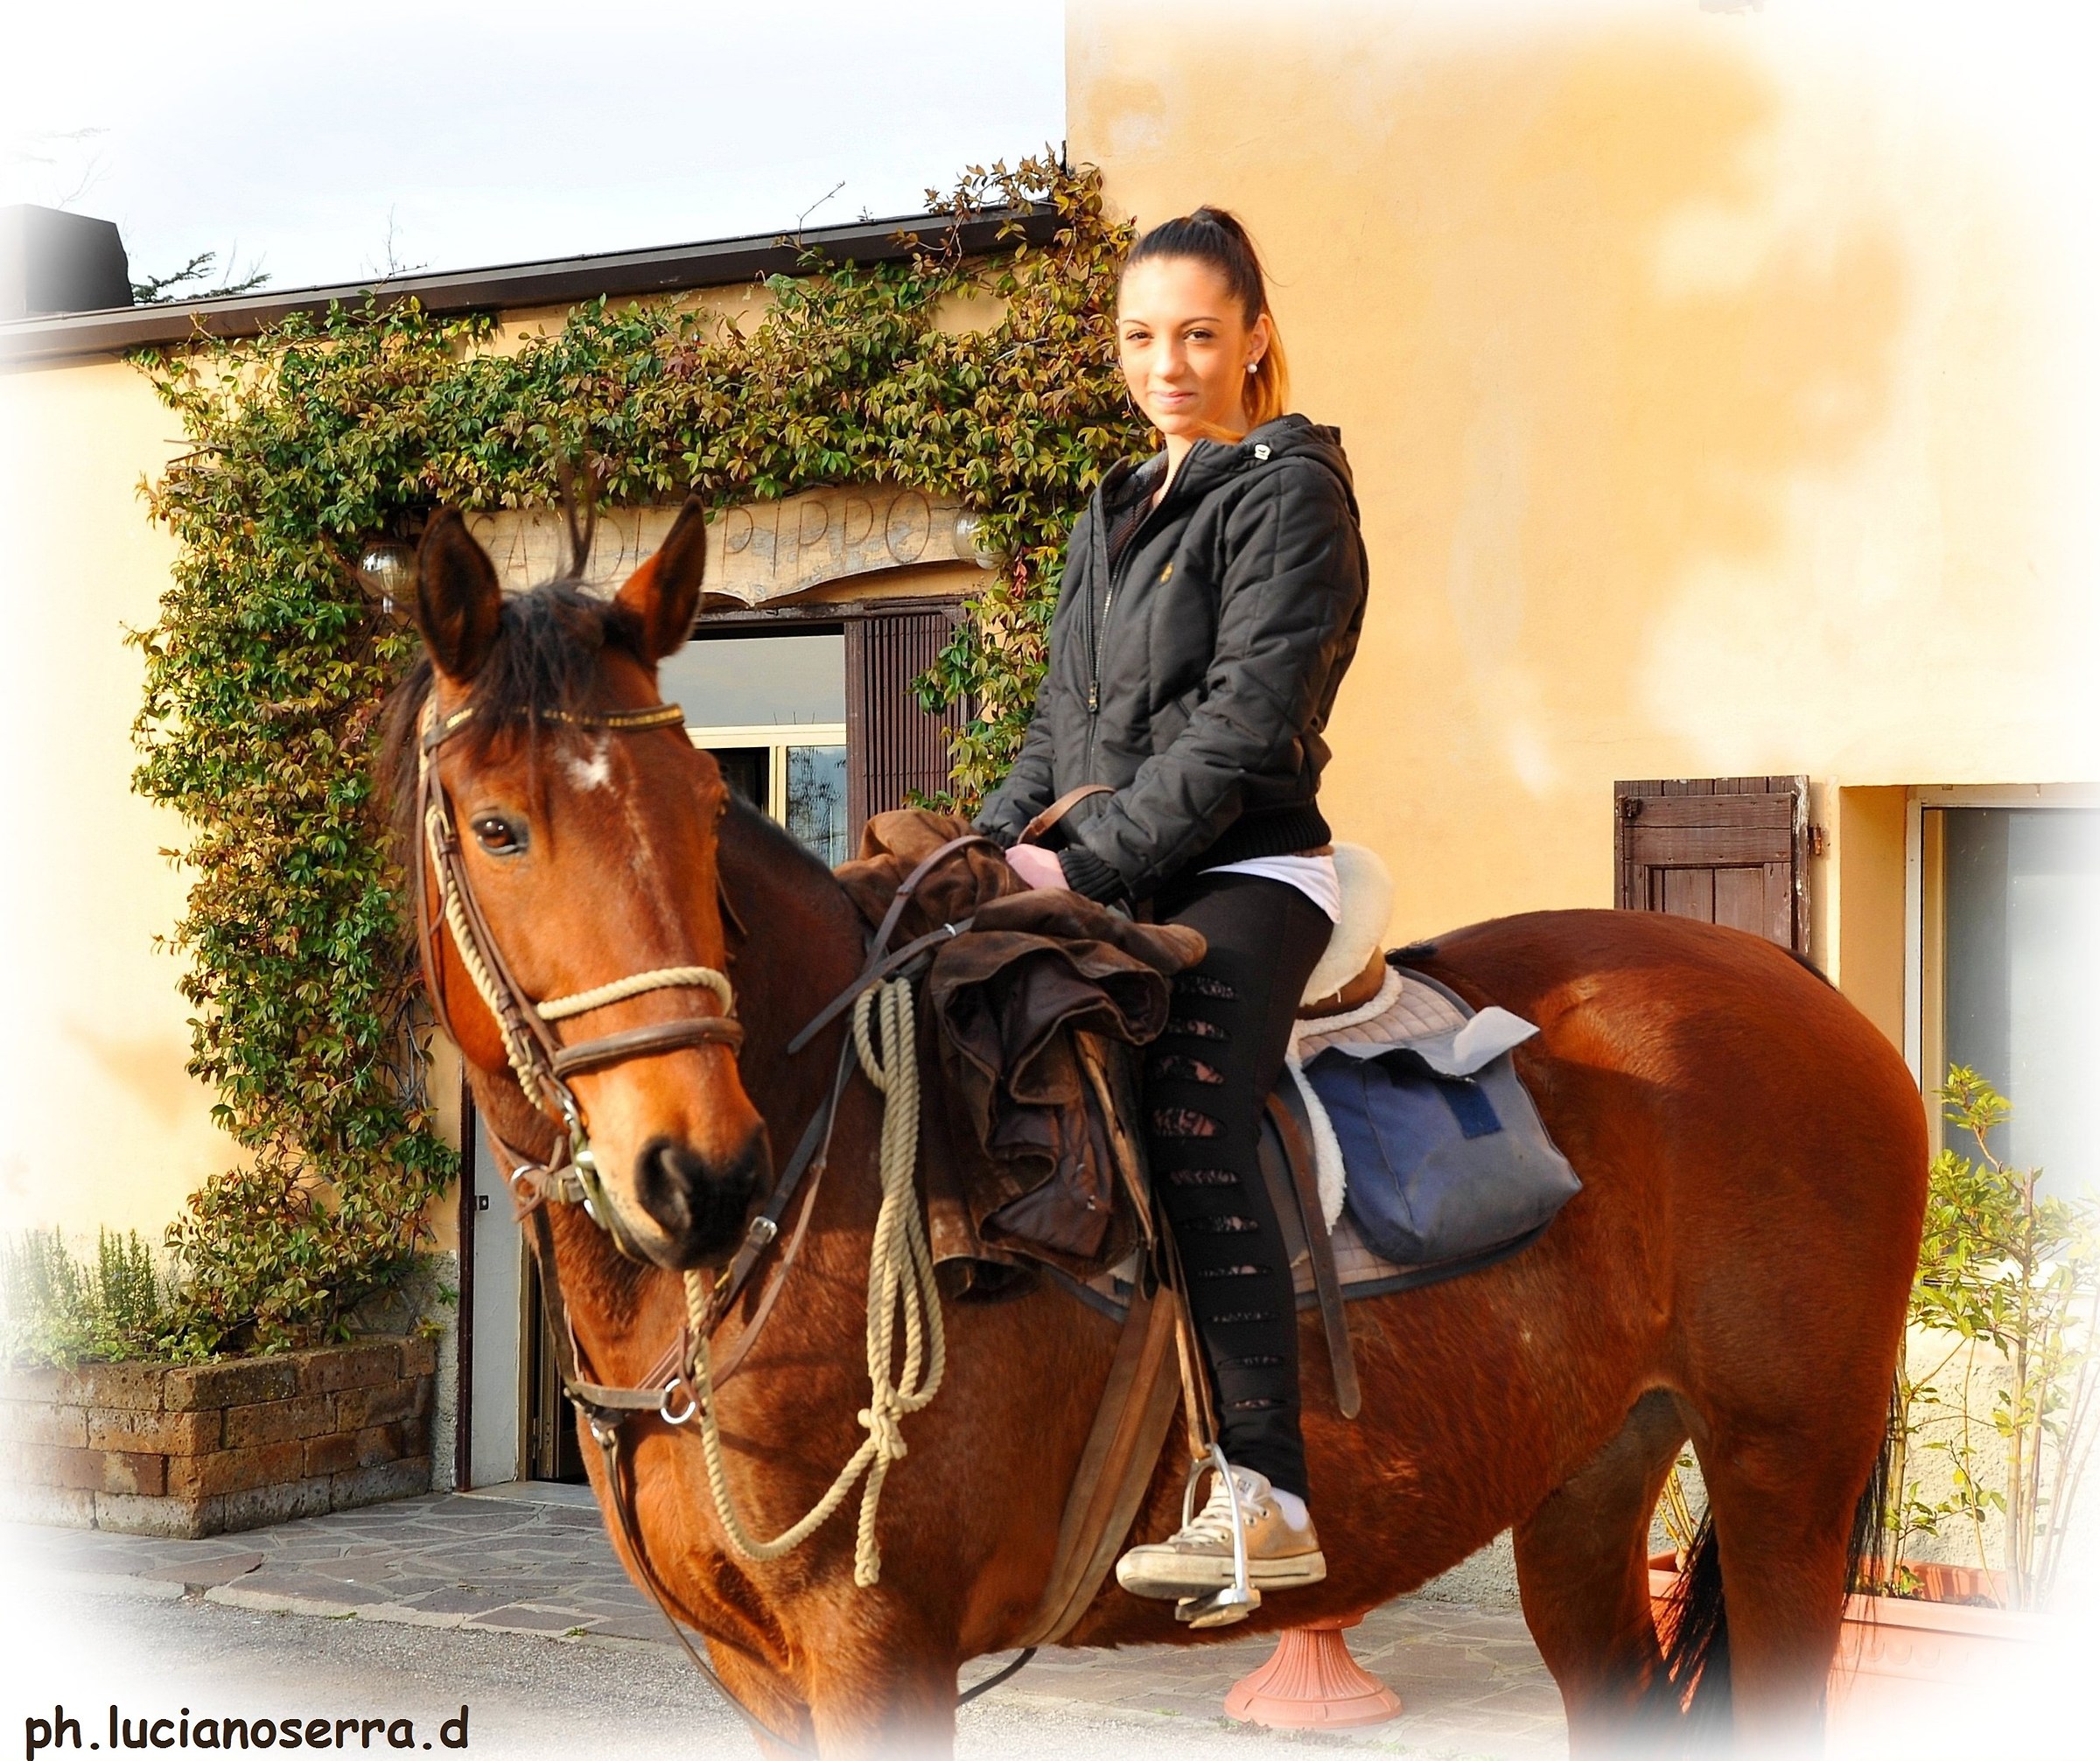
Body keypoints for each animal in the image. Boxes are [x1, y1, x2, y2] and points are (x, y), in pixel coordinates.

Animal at [383, 500, 1927, 1757]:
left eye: (706, 810)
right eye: (498, 826)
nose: (697, 1171)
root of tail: (1801, 988)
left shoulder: (880, 1652)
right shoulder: (762, 1675)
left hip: (1785, 1477)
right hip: (1588, 1479)